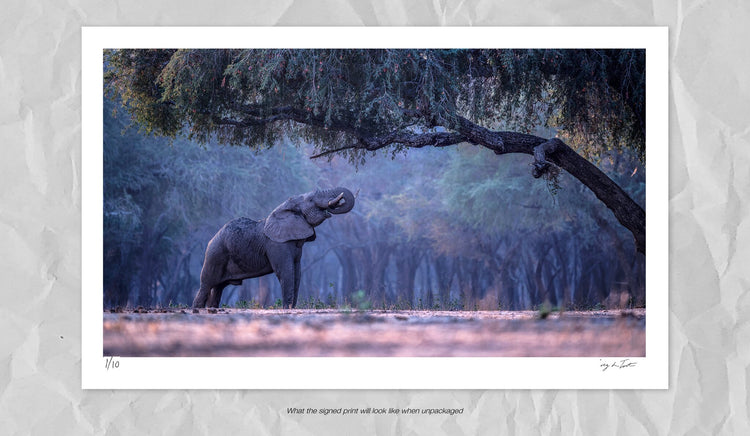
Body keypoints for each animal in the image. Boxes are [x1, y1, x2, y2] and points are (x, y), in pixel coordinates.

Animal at [192, 187, 355, 309]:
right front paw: (287, 309)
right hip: (215, 254)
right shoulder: (276, 244)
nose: (335, 204)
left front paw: (291, 308)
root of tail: (211, 240)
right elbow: (286, 271)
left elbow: (297, 272)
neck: (285, 207)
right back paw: (197, 309)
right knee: (206, 284)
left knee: (218, 288)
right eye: (310, 200)